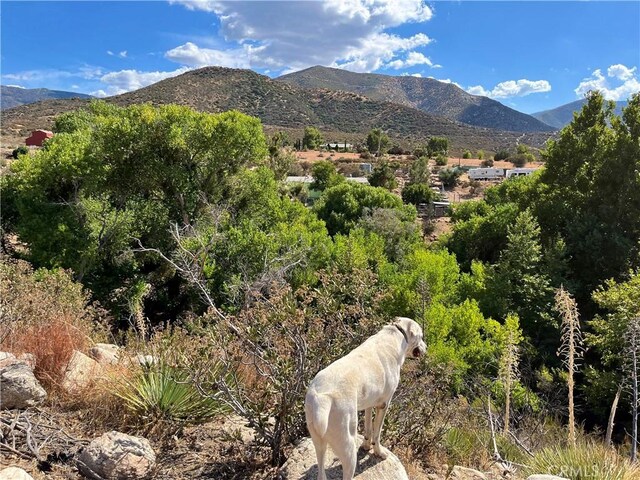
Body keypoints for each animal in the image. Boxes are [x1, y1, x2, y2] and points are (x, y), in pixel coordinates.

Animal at [304, 316, 424, 478]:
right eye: (421, 337)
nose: (426, 347)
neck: (397, 335)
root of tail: (322, 399)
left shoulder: (369, 404)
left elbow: (368, 428)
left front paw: (366, 446)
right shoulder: (384, 405)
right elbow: (377, 433)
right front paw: (379, 452)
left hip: (319, 443)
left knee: (321, 472)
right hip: (348, 447)